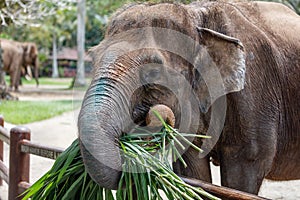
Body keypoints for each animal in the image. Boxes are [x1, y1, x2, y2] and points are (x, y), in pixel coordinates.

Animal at [78, 0, 300, 197]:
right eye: (93, 58)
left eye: (153, 72)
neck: (198, 17)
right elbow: (193, 170)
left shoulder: (253, 93)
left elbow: (242, 173)